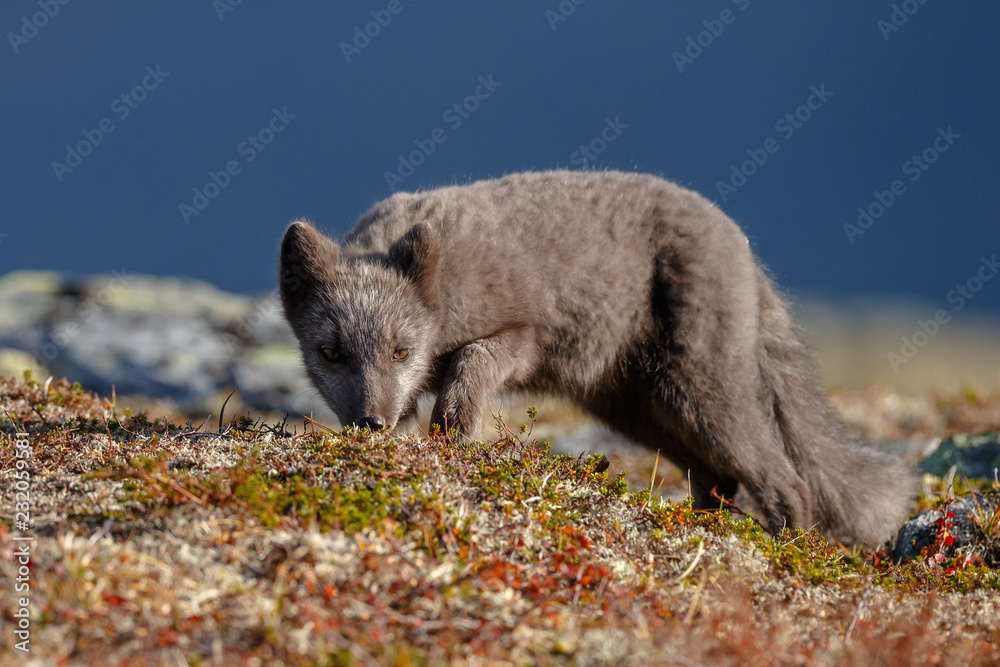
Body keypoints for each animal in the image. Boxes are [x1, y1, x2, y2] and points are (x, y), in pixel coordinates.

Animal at [278, 170, 913, 545]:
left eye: (400, 350)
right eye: (331, 353)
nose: (369, 424)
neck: (446, 291)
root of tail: (742, 243)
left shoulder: (524, 333)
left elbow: (471, 365)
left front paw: (454, 431)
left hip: (700, 392)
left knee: (788, 482)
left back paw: (790, 553)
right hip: (644, 409)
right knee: (718, 479)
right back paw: (704, 531)